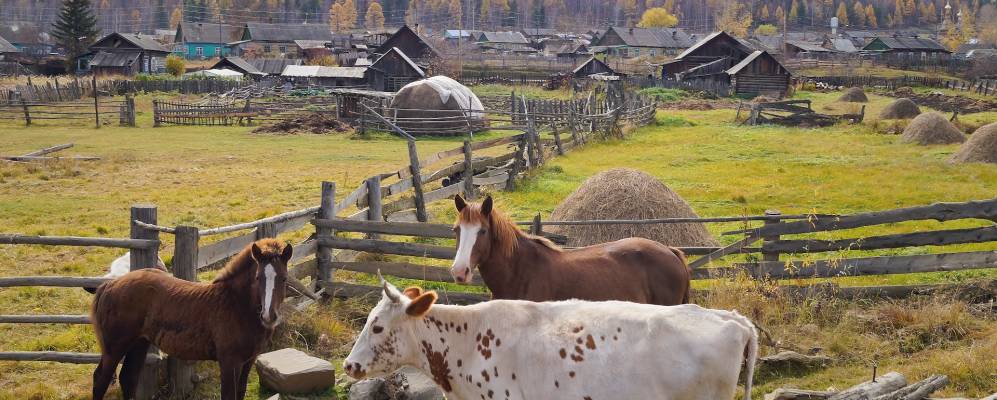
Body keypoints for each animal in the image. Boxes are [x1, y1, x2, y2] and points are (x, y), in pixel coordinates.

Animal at [89, 239, 306, 398]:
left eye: (284, 278)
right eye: (258, 278)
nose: (269, 316)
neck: (236, 305)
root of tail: (110, 284)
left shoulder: (248, 361)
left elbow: (241, 392)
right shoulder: (229, 361)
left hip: (139, 343)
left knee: (128, 378)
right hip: (114, 347)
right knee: (100, 380)